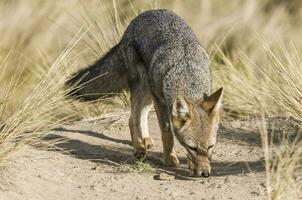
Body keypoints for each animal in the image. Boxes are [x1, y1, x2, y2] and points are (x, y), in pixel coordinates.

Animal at [66, 9, 222, 177]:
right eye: (192, 147)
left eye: (211, 147)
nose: (205, 173)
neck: (186, 71)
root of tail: (142, 15)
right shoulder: (160, 101)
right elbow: (167, 132)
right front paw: (170, 158)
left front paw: (192, 167)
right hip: (143, 86)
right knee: (133, 118)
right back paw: (138, 148)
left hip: (148, 94)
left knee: (138, 115)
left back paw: (145, 139)